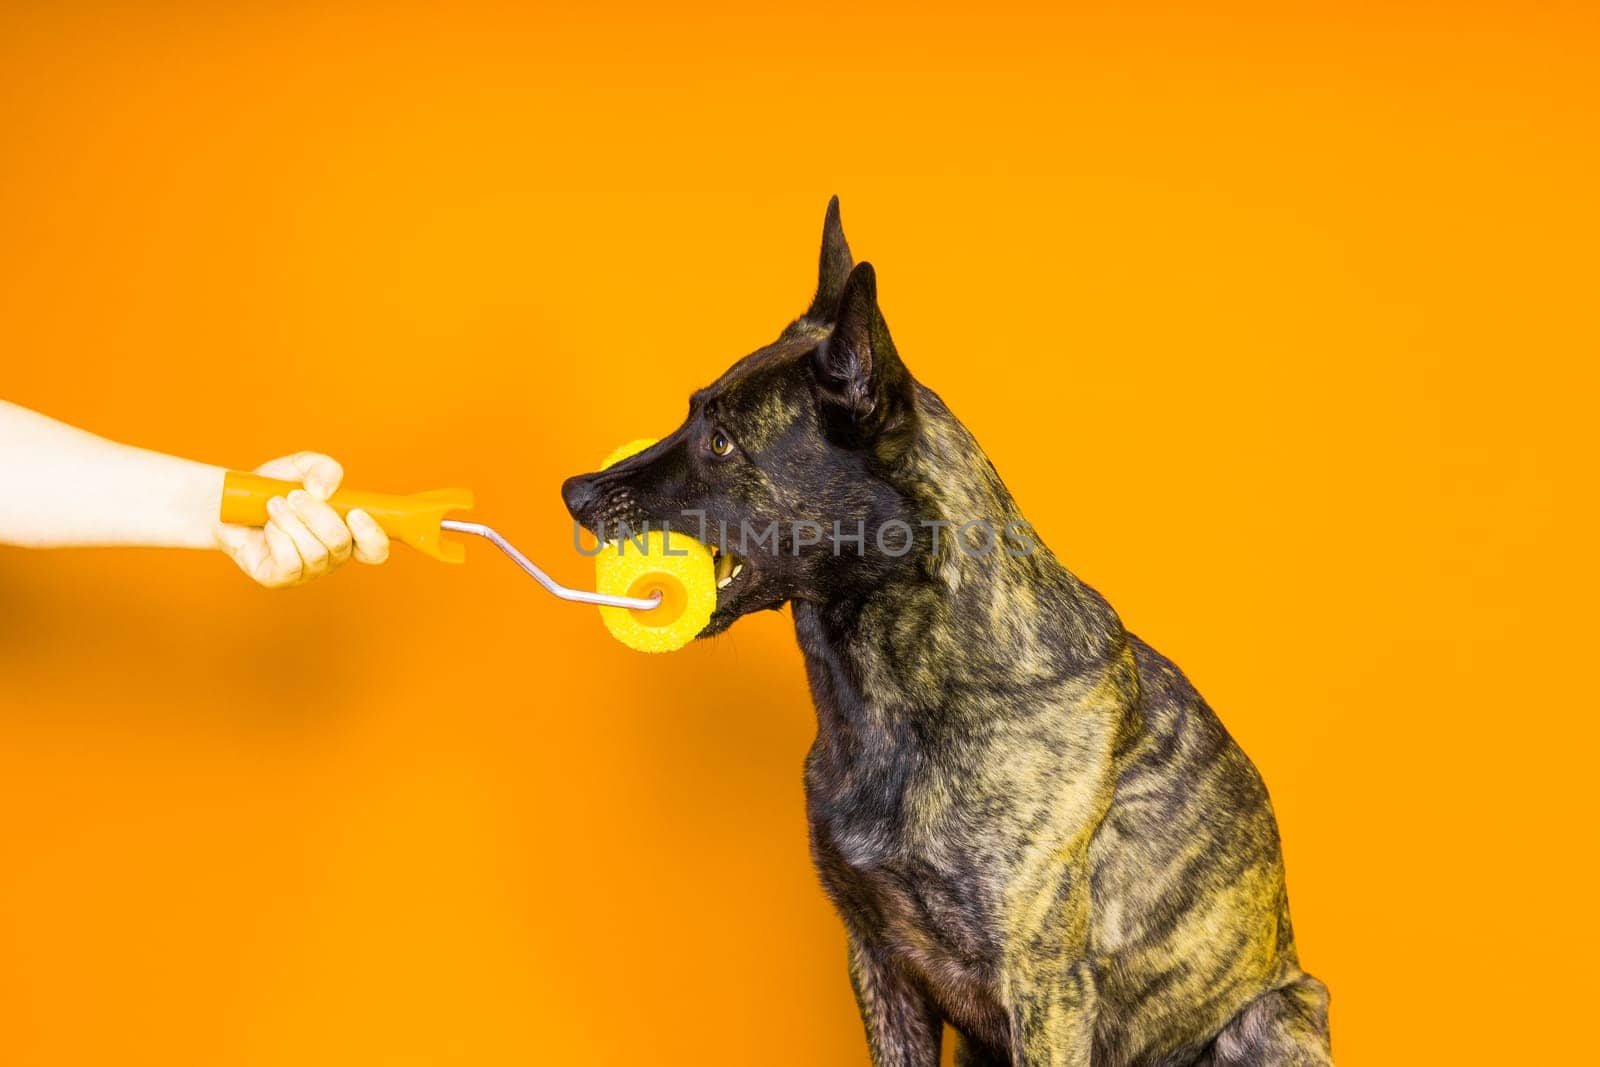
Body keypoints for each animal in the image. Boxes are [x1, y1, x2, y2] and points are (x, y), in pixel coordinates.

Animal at [563, 202, 1324, 1067]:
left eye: (722, 442)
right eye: (693, 414)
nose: (574, 492)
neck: (904, 690)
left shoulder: (1045, 985)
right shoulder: (880, 959)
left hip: (1275, 1016)